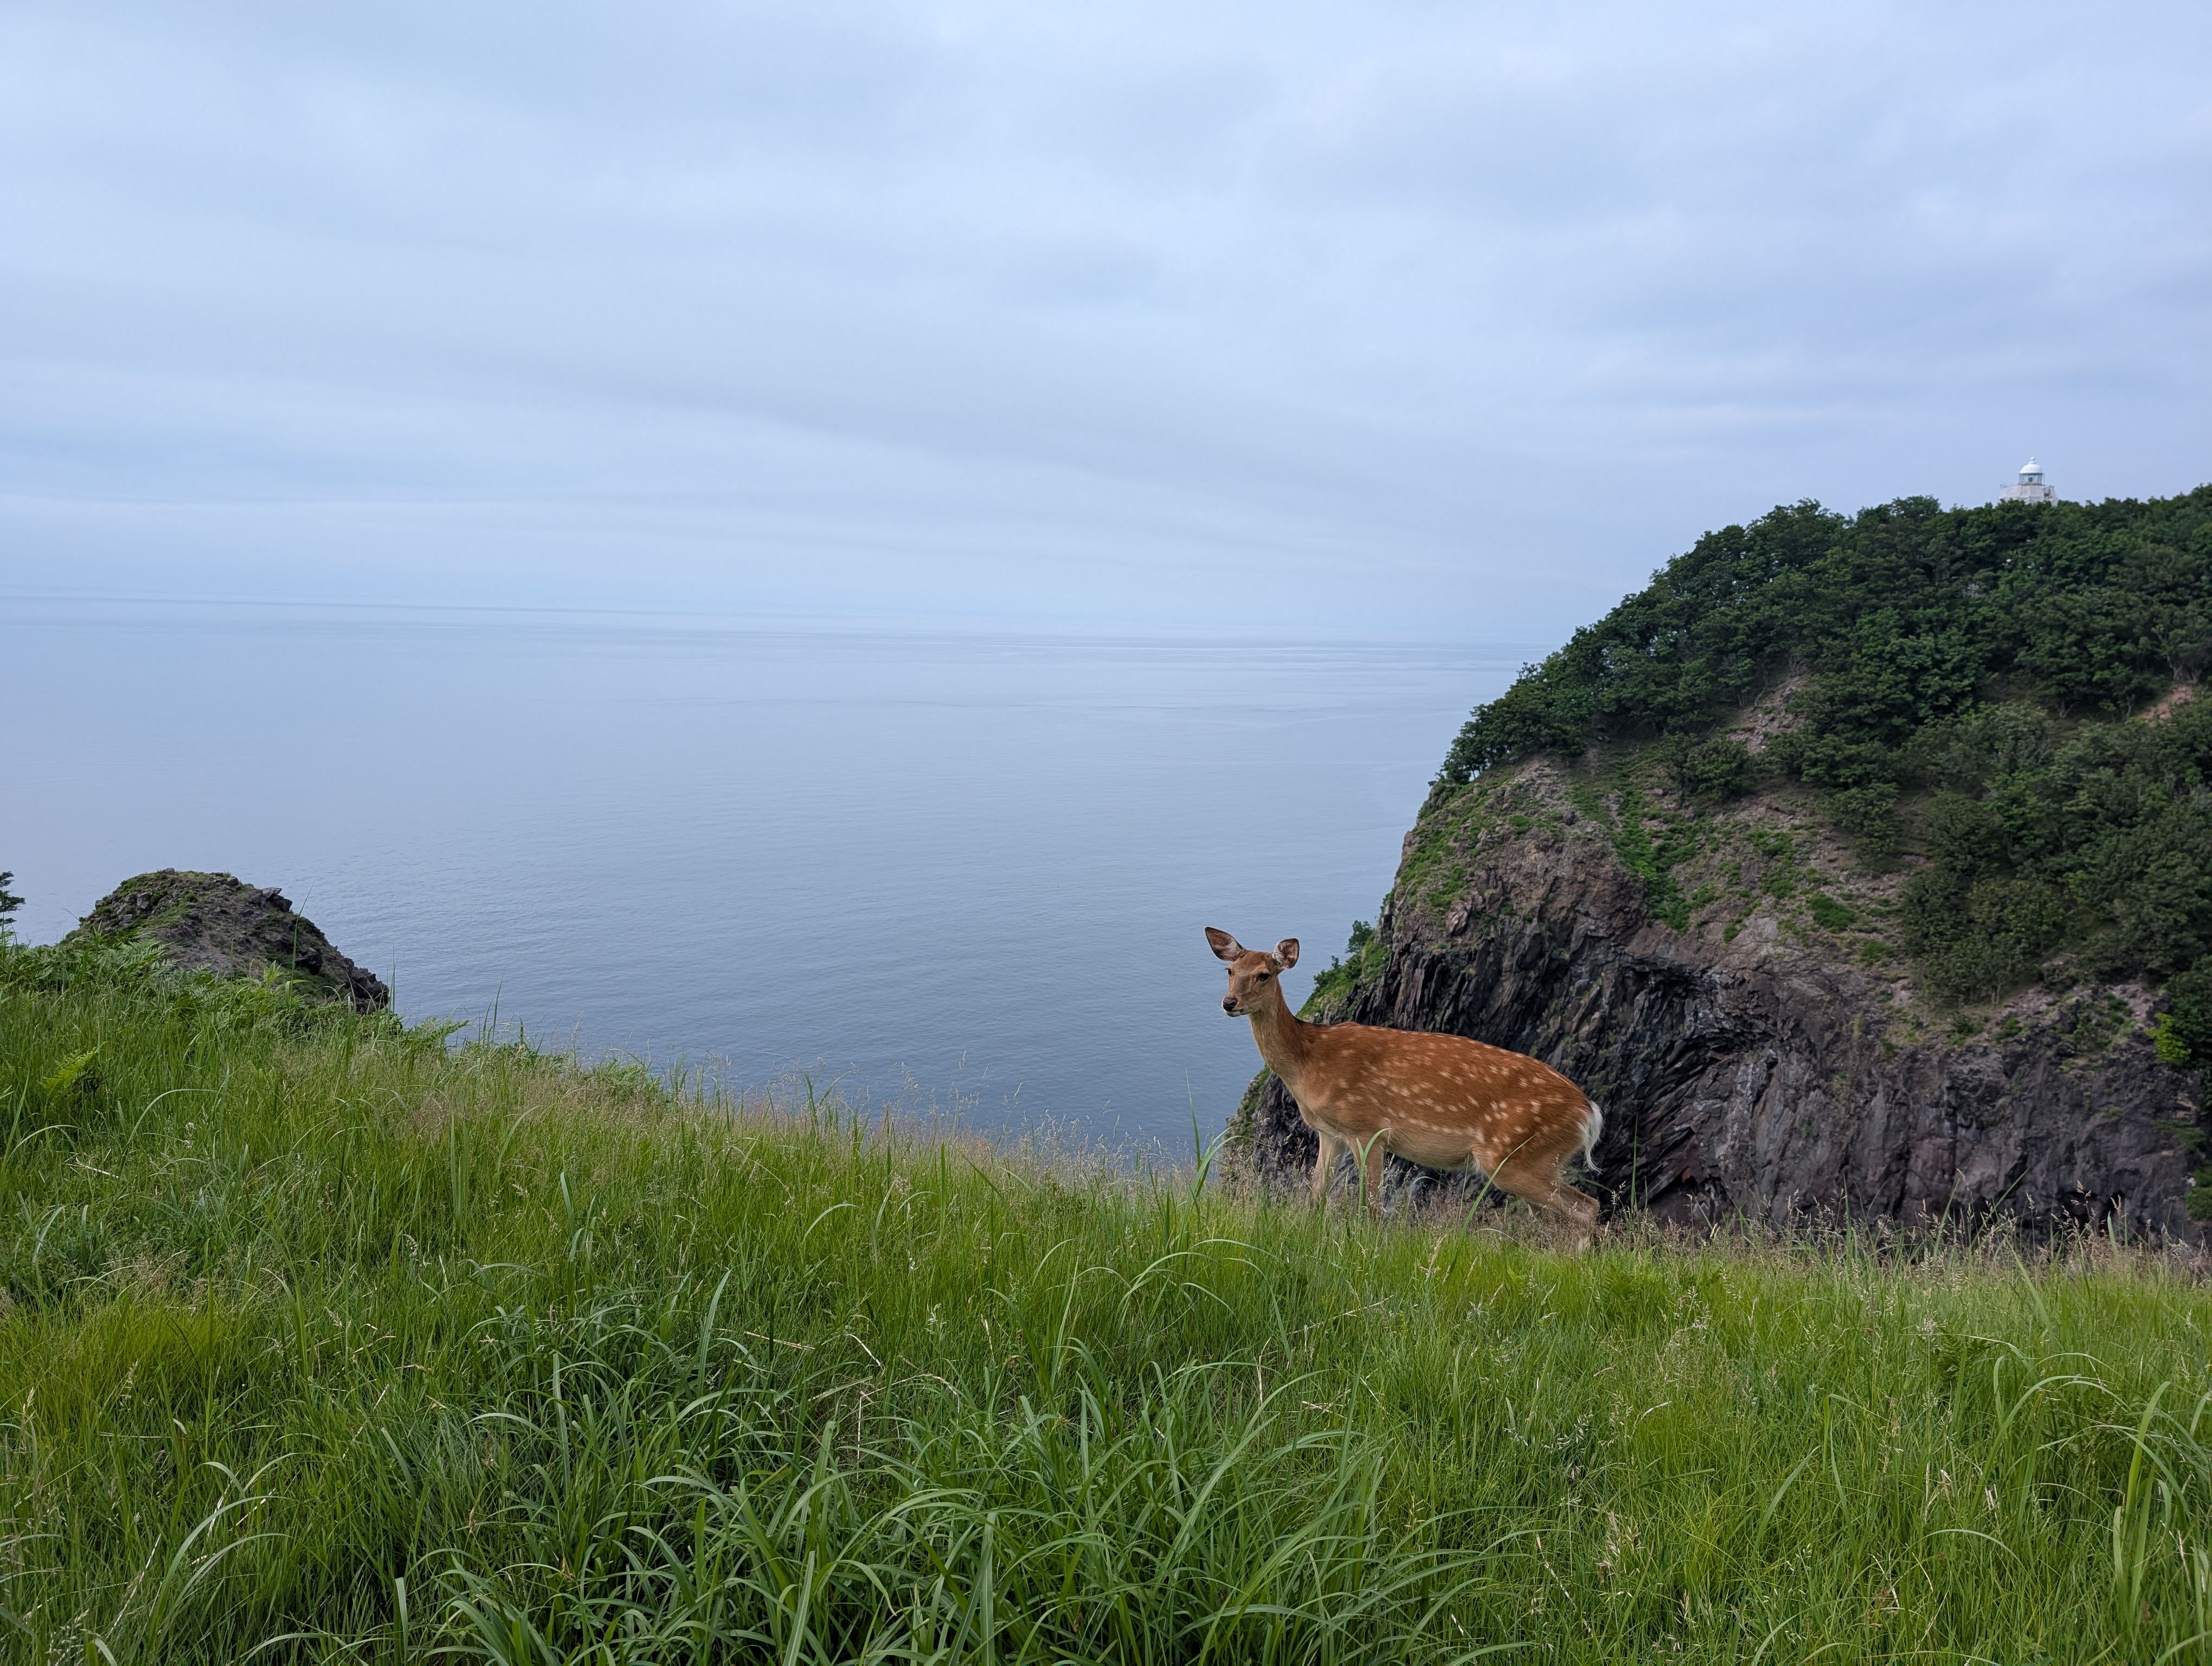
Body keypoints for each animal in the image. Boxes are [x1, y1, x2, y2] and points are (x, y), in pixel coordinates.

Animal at [1207, 927, 1603, 1246]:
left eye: (1263, 975)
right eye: (1230, 971)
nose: (1229, 1002)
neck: (1311, 1062)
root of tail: (1590, 1114)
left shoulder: (1368, 1128)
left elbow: (1371, 1207)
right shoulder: (1330, 1133)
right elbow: (1315, 1197)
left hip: (1515, 1157)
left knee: (1587, 1206)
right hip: (1539, 1161)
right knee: (1565, 1215)